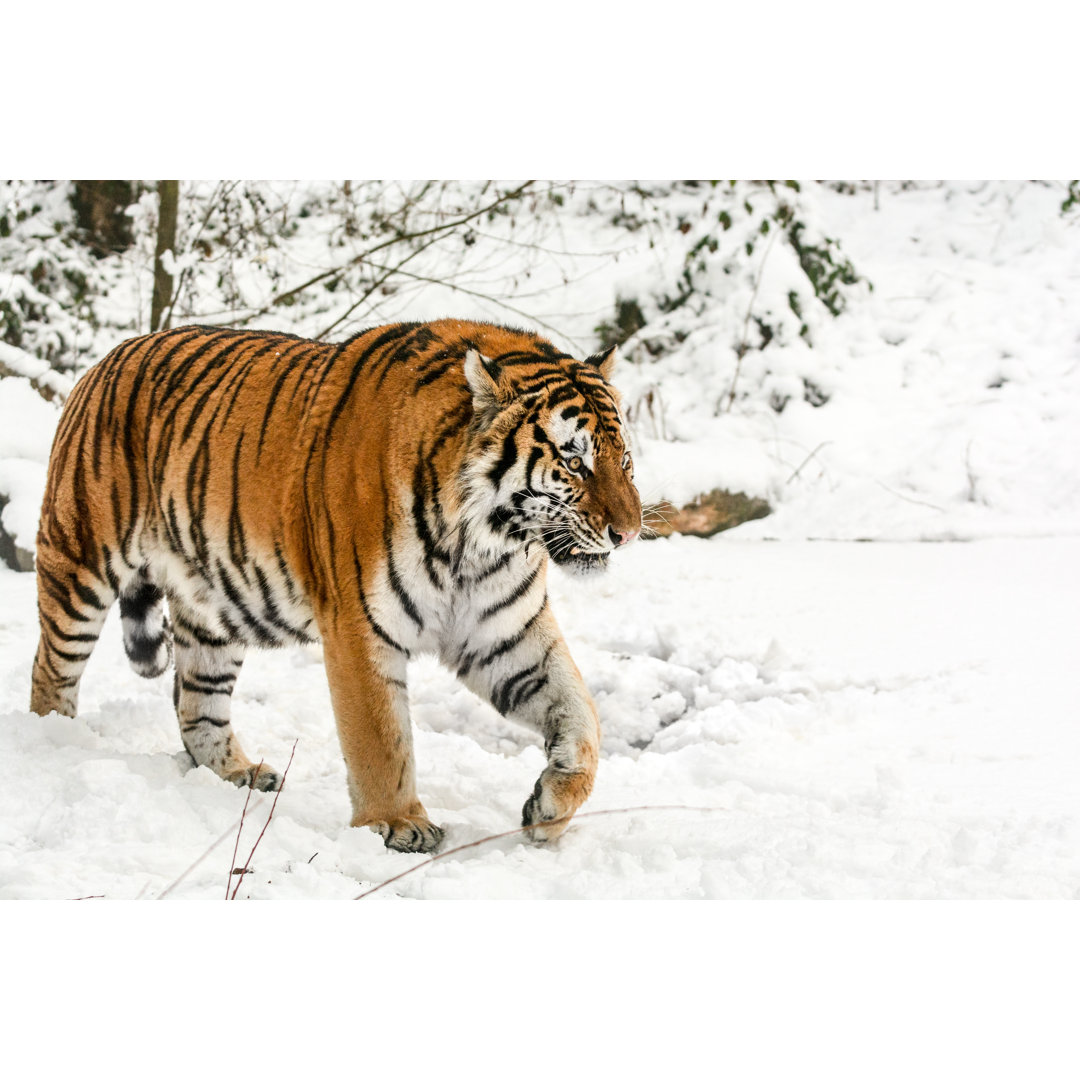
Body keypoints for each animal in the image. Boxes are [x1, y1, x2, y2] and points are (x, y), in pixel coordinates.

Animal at [31, 317, 639, 851]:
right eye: (575, 462)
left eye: (625, 460)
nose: (629, 532)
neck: (484, 542)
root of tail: (108, 358)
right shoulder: (359, 626)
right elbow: (381, 739)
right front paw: (398, 824)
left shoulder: (503, 632)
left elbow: (582, 717)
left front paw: (549, 810)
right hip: (79, 560)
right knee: (50, 671)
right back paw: (52, 743)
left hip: (210, 609)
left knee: (196, 704)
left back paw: (238, 774)